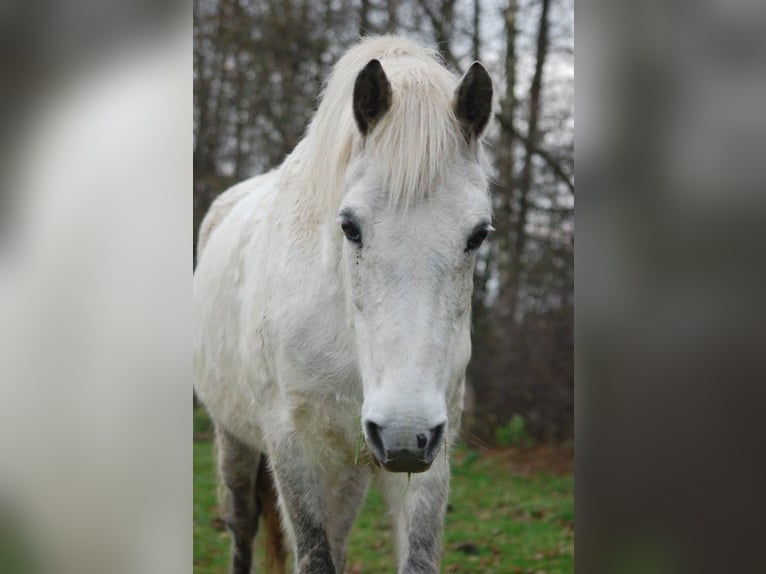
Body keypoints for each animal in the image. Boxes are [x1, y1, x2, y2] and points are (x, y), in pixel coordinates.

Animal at [195, 37, 496, 574]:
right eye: (350, 227)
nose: (402, 432)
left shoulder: (429, 455)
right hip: (235, 437)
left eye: (478, 234)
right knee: (242, 527)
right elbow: (314, 554)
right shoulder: (293, 448)